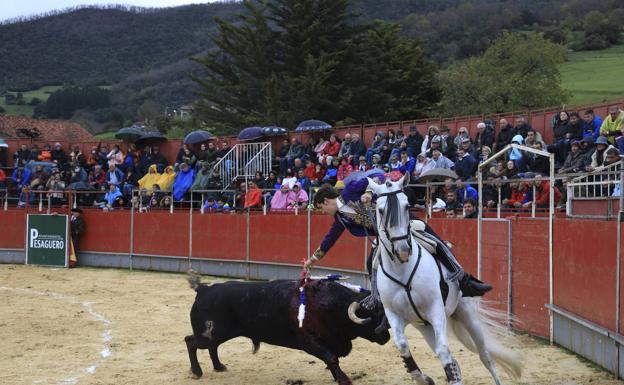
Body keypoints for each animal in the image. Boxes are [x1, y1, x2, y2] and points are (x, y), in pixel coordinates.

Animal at [185, 274, 390, 382]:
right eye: (372, 316)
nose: (386, 337)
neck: (330, 305)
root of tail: (203, 289)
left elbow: (332, 359)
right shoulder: (310, 342)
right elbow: (331, 358)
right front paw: (344, 380)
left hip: (216, 333)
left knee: (212, 346)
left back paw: (219, 366)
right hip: (211, 333)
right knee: (191, 342)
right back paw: (197, 372)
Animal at [352, 175, 520, 384]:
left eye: (407, 206)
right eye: (381, 210)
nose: (403, 251)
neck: (402, 270)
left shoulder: (435, 309)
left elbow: (443, 351)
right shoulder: (394, 315)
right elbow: (403, 347)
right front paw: (424, 379)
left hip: (466, 313)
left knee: (485, 356)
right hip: (424, 327)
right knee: (455, 360)